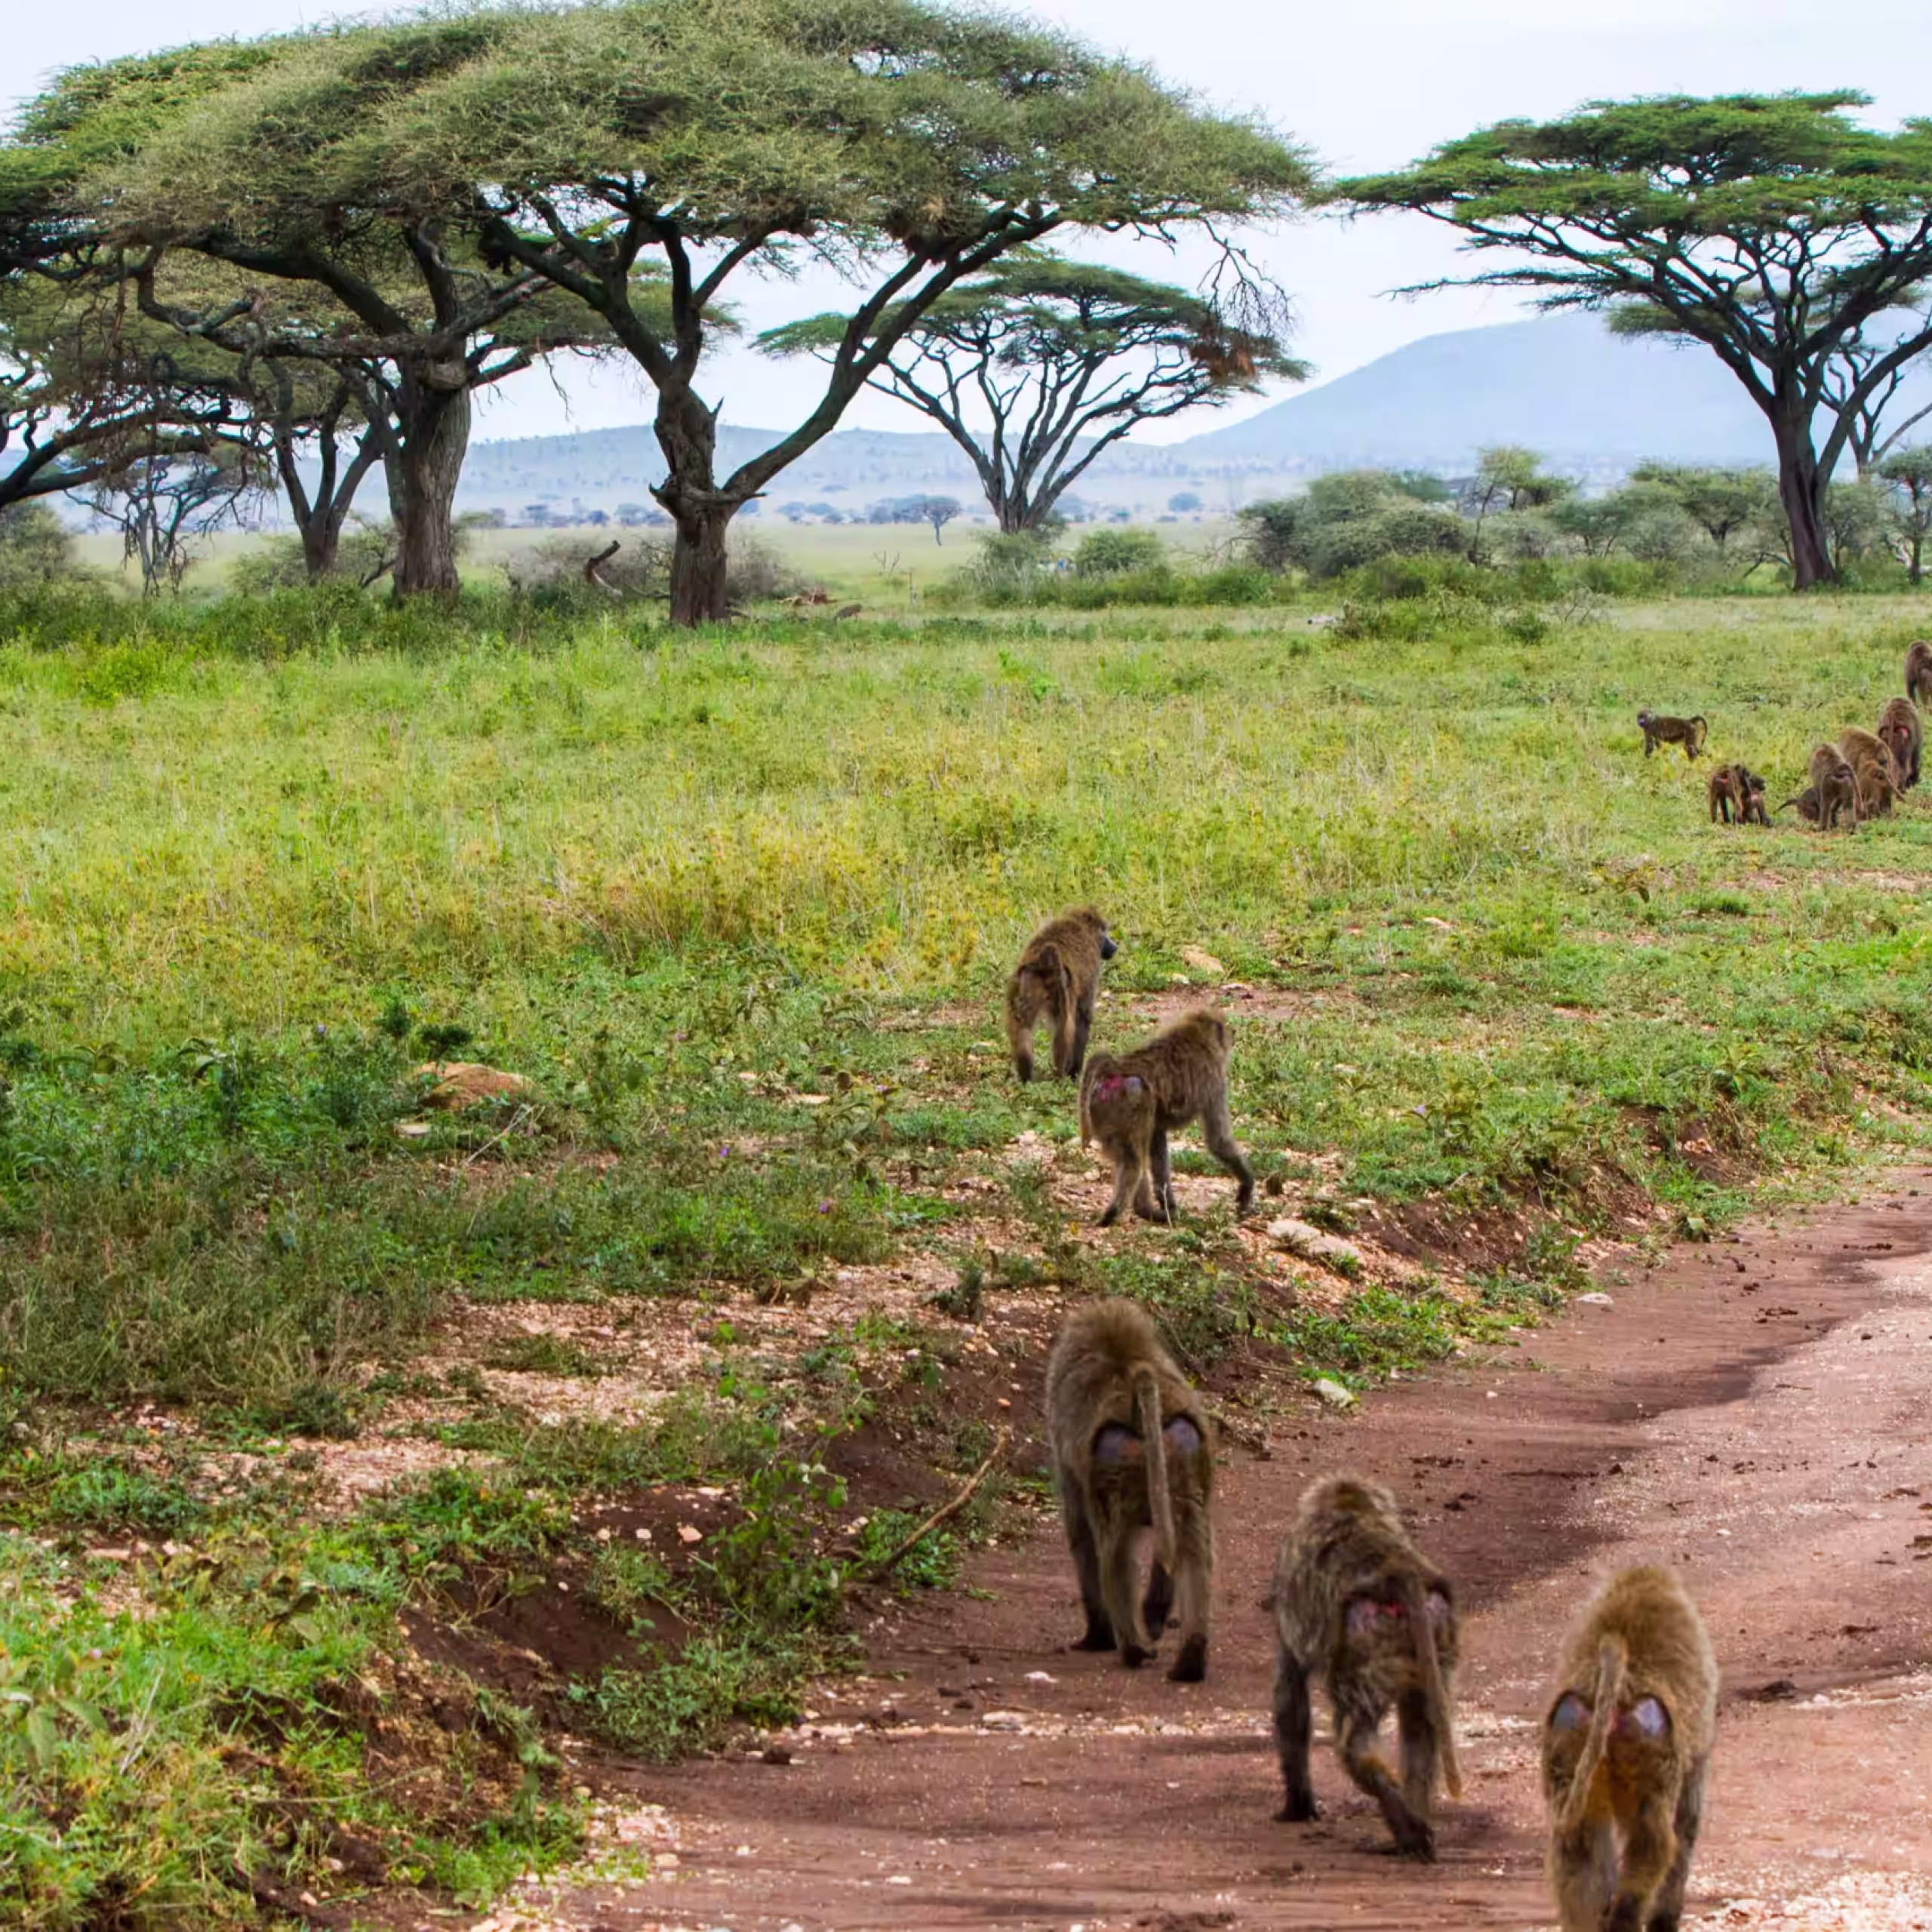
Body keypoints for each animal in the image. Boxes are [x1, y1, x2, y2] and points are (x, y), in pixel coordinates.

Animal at [1005, 908, 1117, 1083]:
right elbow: (1083, 1017)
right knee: (1064, 1027)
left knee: (1022, 1025)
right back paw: (1061, 1076)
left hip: (1028, 981)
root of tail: (1046, 958)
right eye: (1104, 931)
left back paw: (1026, 1077)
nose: (1114, 946)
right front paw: (1075, 1073)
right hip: (1061, 986)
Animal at [1044, 1299, 1215, 1682]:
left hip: (1115, 1455)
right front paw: (1153, 1617)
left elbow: (1081, 1539)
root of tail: (1137, 1381)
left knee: (1114, 1551)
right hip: (1181, 1445)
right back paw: (1189, 1658)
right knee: (1189, 1543)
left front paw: (1097, 1638)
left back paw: (1131, 1649)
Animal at [1079, 1008, 1254, 1226]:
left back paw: (1146, 1211)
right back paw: (1129, 1211)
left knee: (1131, 1155)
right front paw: (1247, 1185)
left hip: (1101, 1113)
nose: (1229, 1041)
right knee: (1133, 1161)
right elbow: (1218, 1141)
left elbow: (1158, 1137)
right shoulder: (1215, 1082)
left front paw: (1167, 1201)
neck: (1195, 1036)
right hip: (1132, 1099)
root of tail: (1114, 1070)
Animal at [1271, 1474, 1462, 1863]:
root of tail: (1400, 1574)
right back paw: (1414, 1824)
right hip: (1437, 1629)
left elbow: (1290, 1698)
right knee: (1422, 1727)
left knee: (1354, 1744)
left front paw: (1297, 1808)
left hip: (1364, 1644)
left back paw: (1404, 1822)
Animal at [1542, 1565, 1717, 1932]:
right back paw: (1628, 1915)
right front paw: (1665, 1920)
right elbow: (1687, 1824)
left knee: (1576, 1849)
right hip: (1649, 1732)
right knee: (1653, 1842)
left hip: (1570, 1726)